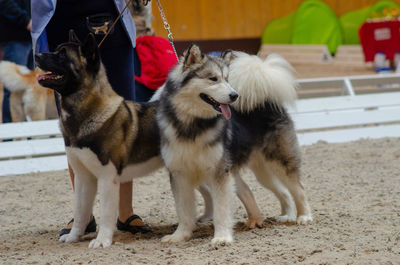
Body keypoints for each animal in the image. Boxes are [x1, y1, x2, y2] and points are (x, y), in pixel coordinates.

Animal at [34, 31, 162, 248]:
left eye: (62, 55)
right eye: (55, 49)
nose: (36, 55)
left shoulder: (107, 177)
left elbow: (106, 212)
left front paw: (102, 240)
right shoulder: (83, 177)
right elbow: (80, 211)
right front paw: (74, 236)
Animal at [156, 44, 312, 244]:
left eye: (227, 79)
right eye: (213, 78)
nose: (234, 95)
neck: (193, 125)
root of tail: (267, 99)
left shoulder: (219, 173)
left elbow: (221, 210)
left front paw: (222, 237)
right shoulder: (179, 174)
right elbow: (183, 211)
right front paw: (180, 236)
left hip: (280, 162)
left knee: (299, 188)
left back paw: (304, 216)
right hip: (263, 172)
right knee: (284, 191)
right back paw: (287, 215)